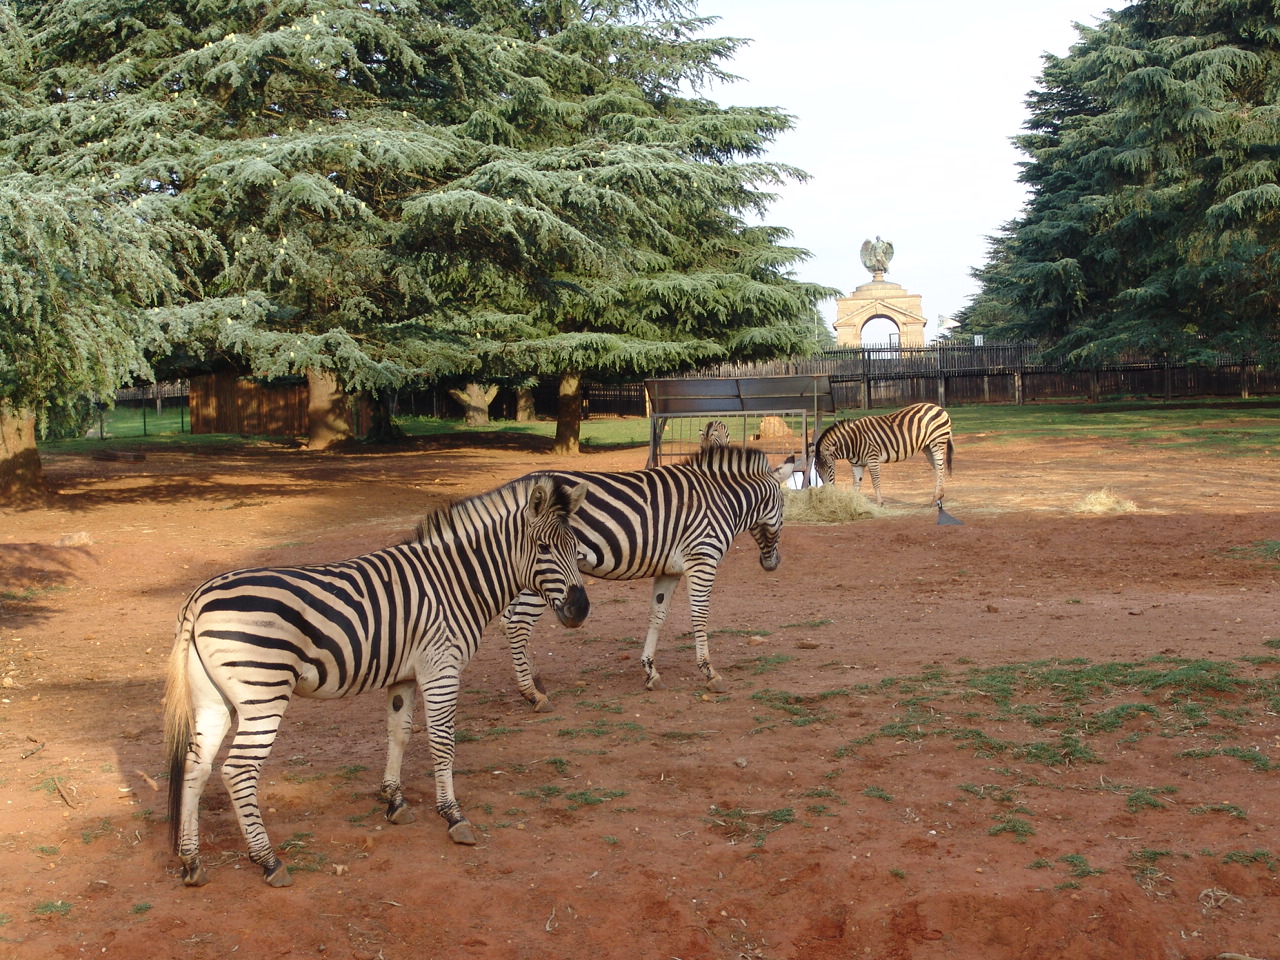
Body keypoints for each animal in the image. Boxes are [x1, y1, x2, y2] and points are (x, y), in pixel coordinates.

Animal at [163, 475, 589, 888]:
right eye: (543, 547)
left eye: (577, 549)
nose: (580, 610)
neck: (455, 583)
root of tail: (199, 598)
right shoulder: (441, 669)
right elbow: (442, 743)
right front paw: (453, 815)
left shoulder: (405, 676)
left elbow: (398, 732)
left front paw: (395, 802)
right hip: (262, 695)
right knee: (237, 771)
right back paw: (268, 861)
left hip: (212, 699)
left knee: (196, 766)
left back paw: (191, 862)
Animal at [502, 445, 796, 711]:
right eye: (783, 508)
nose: (774, 563)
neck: (722, 499)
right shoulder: (703, 558)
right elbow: (700, 616)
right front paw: (710, 673)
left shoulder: (669, 570)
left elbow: (658, 616)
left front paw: (650, 672)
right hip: (543, 575)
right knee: (517, 625)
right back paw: (533, 694)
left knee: (507, 622)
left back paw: (536, 680)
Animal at [811, 402, 953, 507]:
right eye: (816, 470)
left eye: (830, 467)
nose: (826, 494)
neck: (852, 441)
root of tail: (939, 407)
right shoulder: (857, 464)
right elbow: (856, 484)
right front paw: (854, 503)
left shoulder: (872, 459)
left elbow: (875, 481)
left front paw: (880, 503)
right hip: (927, 447)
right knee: (939, 469)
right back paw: (939, 496)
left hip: (937, 442)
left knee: (940, 468)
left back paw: (935, 498)